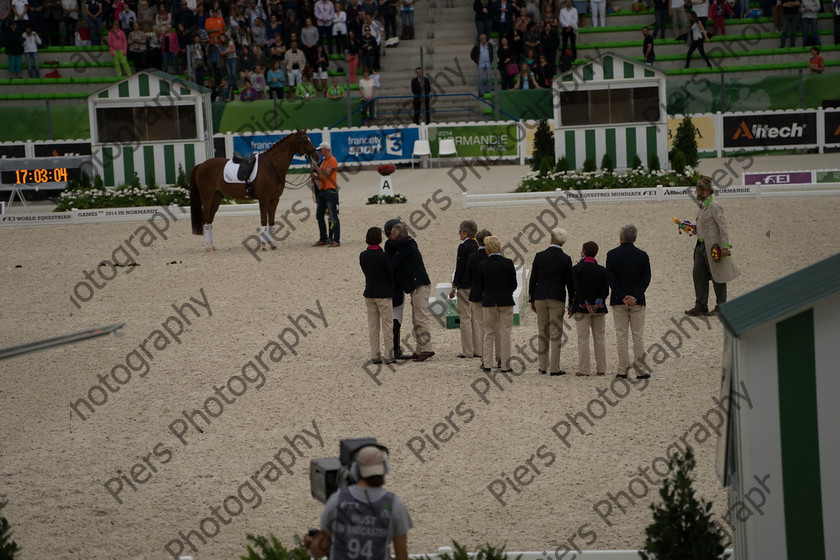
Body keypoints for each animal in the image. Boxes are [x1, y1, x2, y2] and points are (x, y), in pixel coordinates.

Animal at [189, 130, 318, 250]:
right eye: (304, 141)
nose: (316, 157)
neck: (271, 167)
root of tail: (201, 165)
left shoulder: (274, 200)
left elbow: (271, 222)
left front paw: (272, 244)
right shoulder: (264, 199)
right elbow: (264, 220)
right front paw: (264, 245)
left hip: (216, 197)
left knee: (210, 220)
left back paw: (211, 245)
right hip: (207, 197)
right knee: (205, 219)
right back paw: (208, 246)